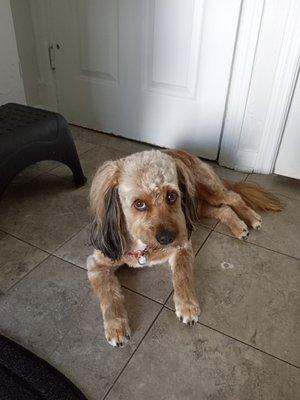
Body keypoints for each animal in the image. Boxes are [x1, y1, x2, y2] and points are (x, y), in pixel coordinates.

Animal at [86, 150, 282, 346]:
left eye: (172, 196)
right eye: (139, 204)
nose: (167, 238)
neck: (144, 247)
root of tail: (181, 152)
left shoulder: (182, 246)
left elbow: (182, 275)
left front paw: (187, 306)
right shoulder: (97, 265)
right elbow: (109, 293)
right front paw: (116, 326)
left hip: (208, 191)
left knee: (233, 197)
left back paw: (251, 217)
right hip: (198, 207)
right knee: (224, 209)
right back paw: (238, 226)